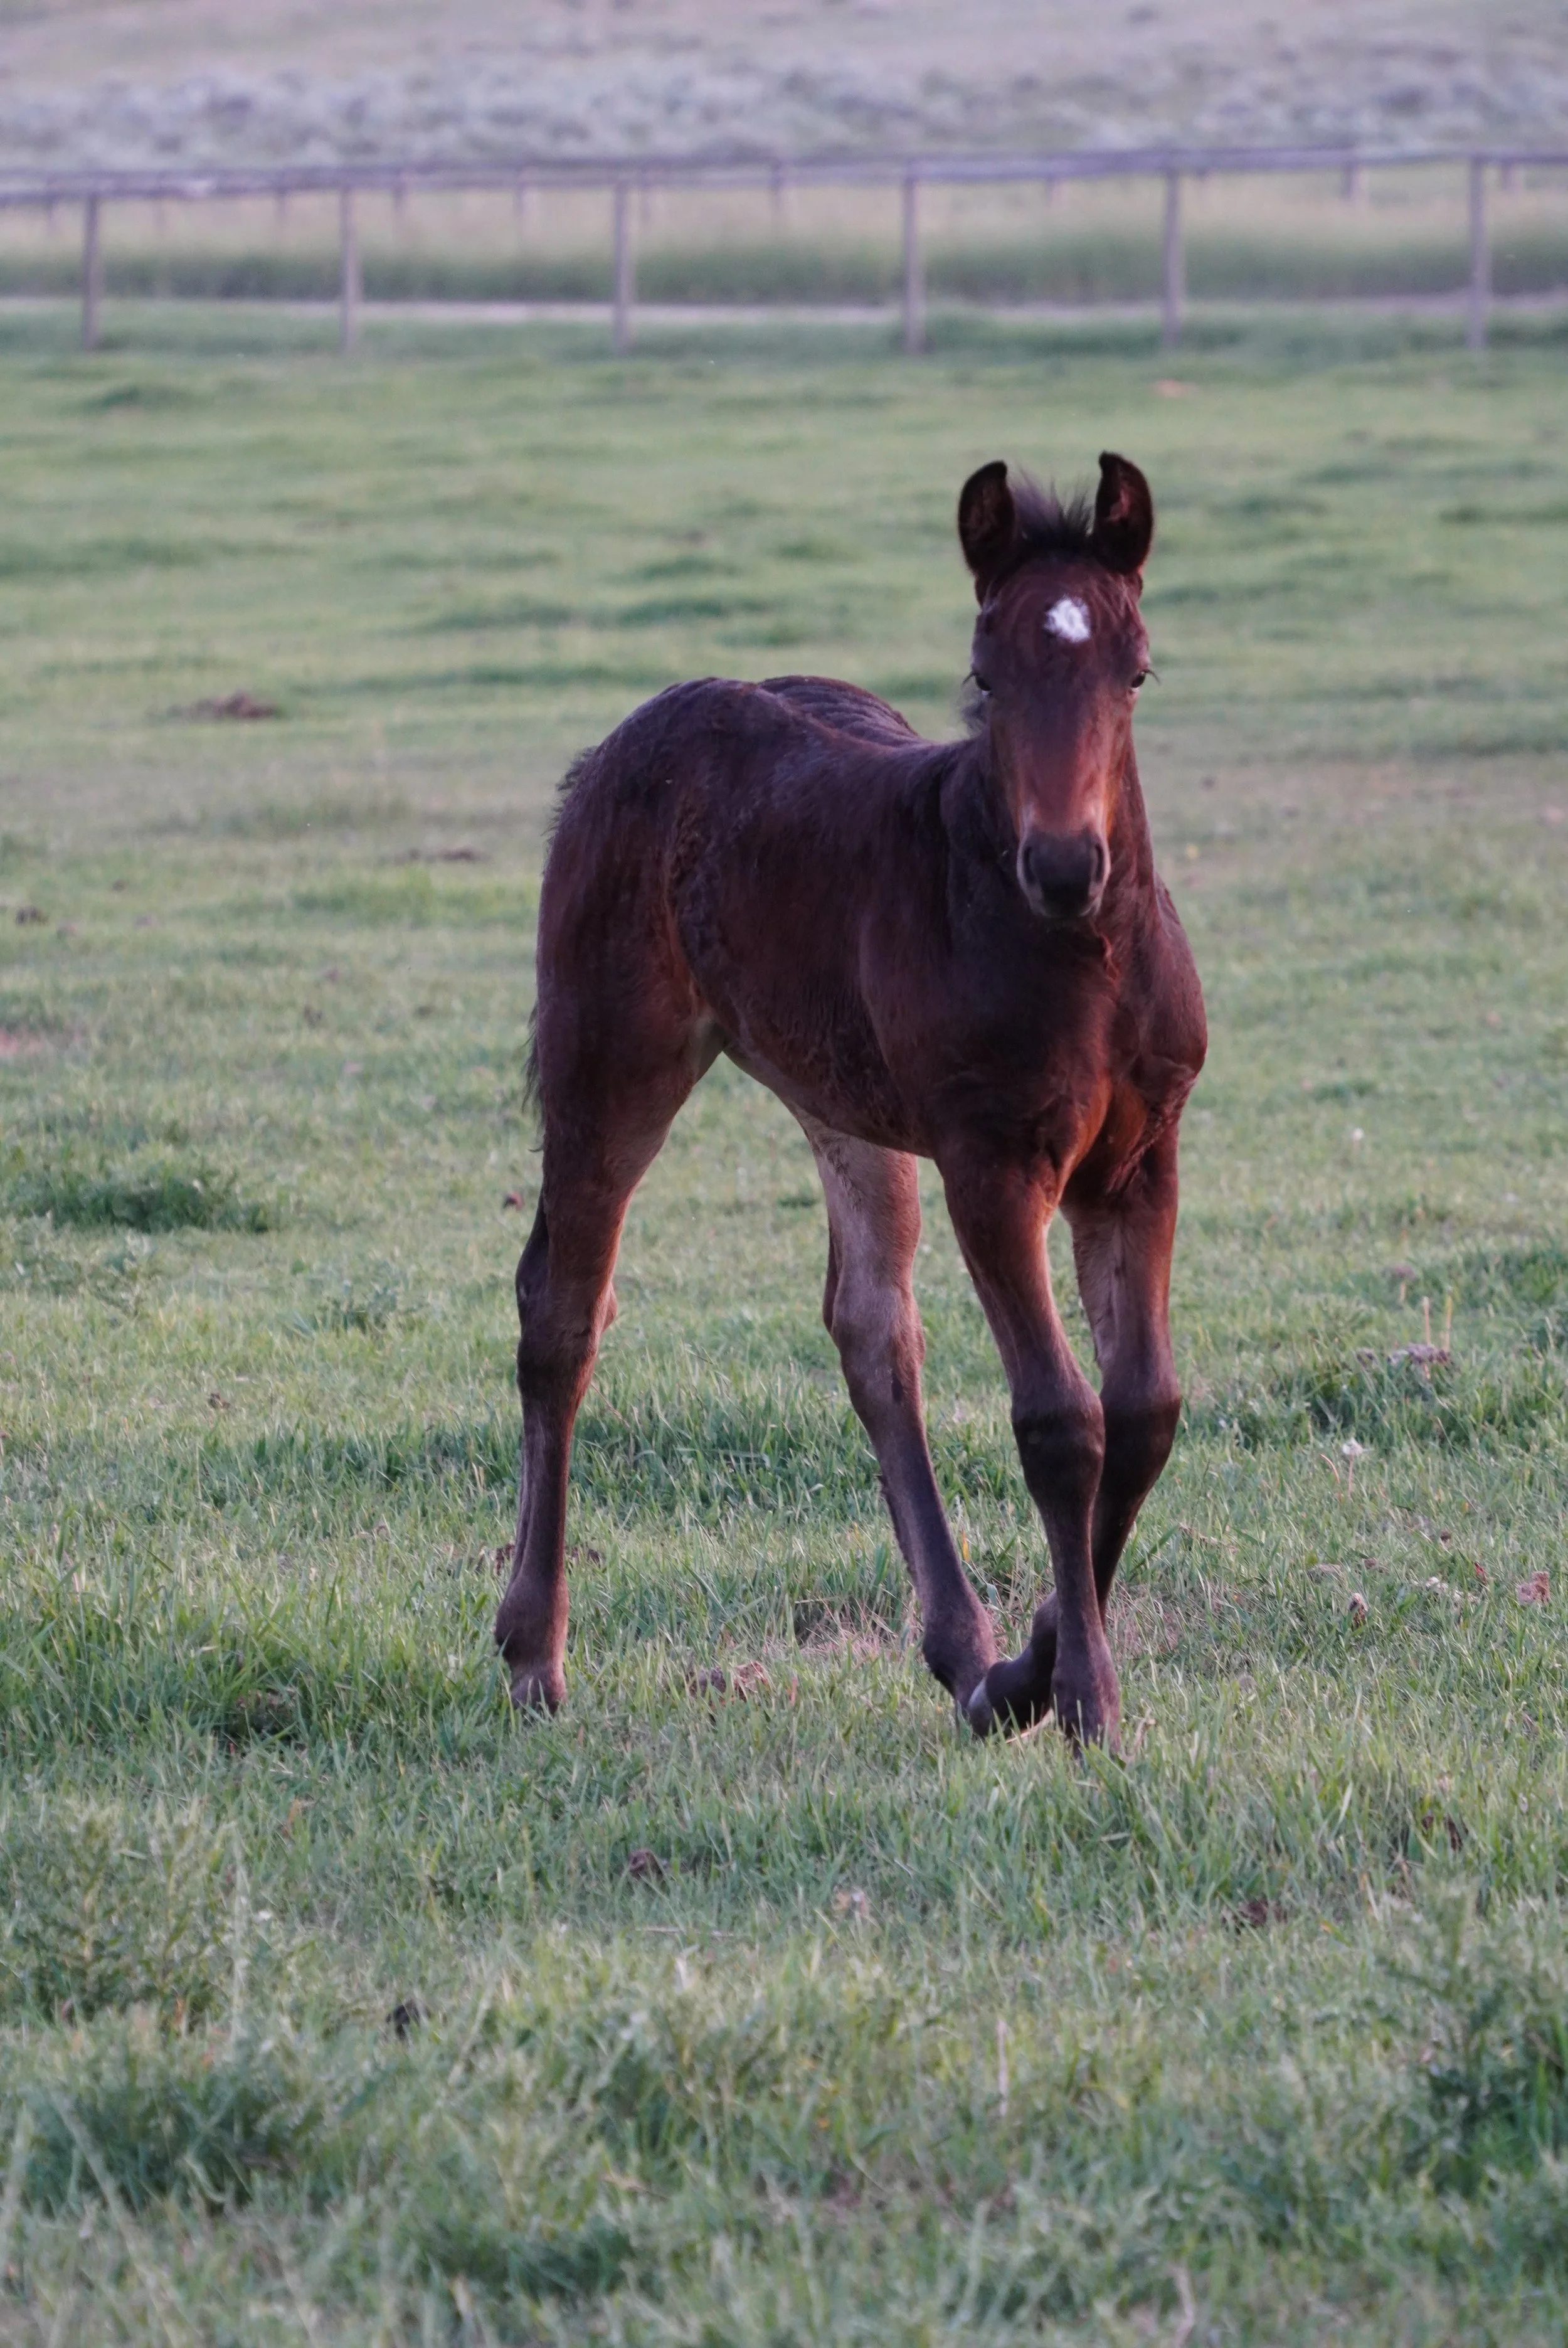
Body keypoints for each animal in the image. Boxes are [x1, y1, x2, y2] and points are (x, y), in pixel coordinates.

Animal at [495, 451, 1206, 1747]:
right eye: (986, 674)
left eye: (1134, 670)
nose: (1066, 865)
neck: (1078, 958)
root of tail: (625, 739)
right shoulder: (991, 1162)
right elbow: (1058, 1420)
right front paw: (1080, 1693)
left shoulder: (1141, 1159)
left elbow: (1143, 1412)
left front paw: (1026, 1665)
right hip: (610, 1057)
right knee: (562, 1310)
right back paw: (533, 1650)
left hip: (841, 1103)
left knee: (872, 1324)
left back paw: (964, 1648)